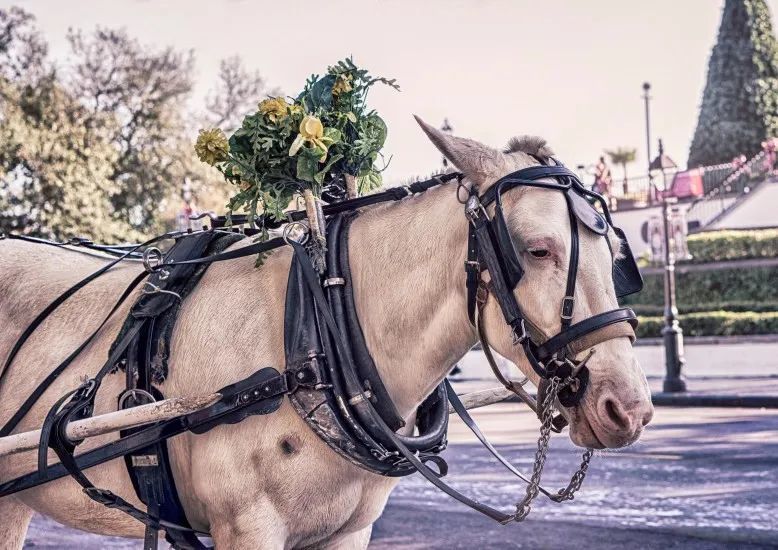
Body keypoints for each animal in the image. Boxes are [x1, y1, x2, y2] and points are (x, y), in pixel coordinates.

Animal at [0, 121, 652, 550]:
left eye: (616, 253)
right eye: (537, 250)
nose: (628, 407)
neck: (317, 339)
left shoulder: (349, 531)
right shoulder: (248, 529)